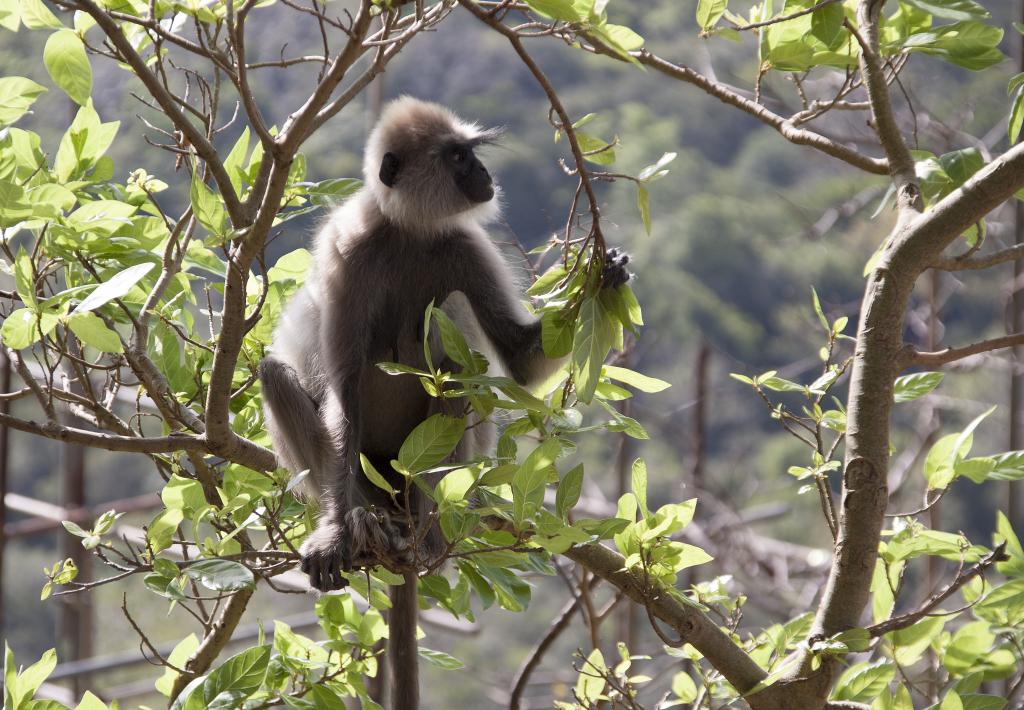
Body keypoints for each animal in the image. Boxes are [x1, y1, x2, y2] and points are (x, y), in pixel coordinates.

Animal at [258, 96, 630, 704]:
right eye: (457, 157)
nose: (483, 174)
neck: (406, 232)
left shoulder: (464, 247)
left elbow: (518, 360)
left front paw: (603, 280)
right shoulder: (347, 255)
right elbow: (342, 387)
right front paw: (334, 531)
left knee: (454, 359)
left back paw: (429, 531)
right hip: (369, 475)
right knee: (277, 372)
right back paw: (366, 522)